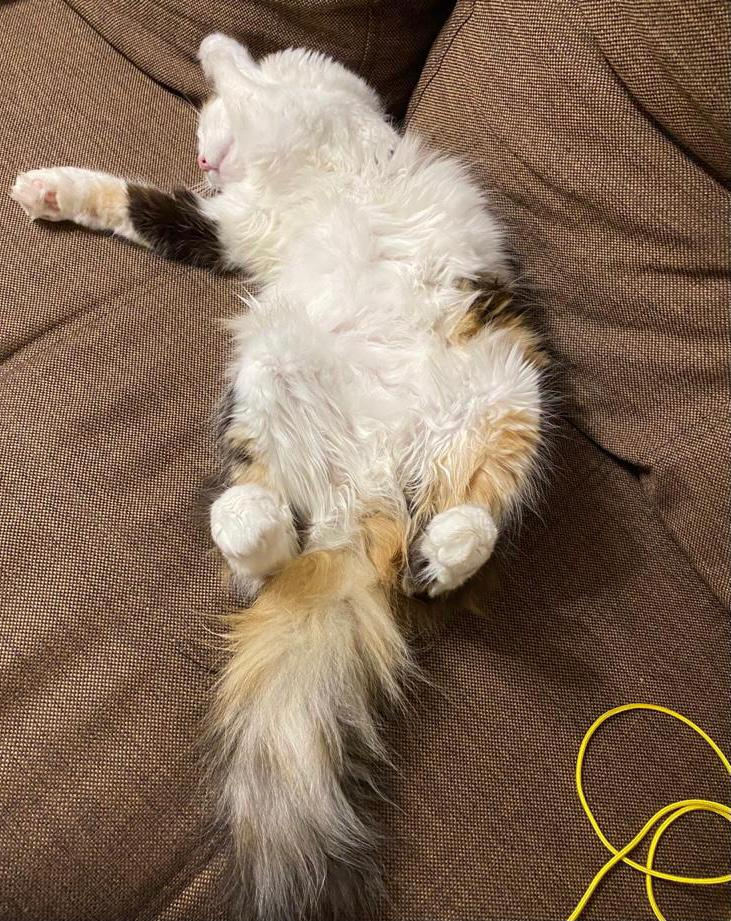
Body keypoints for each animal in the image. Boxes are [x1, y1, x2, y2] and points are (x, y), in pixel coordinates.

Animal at [11, 34, 546, 921]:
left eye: (202, 132)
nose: (202, 159)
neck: (274, 169)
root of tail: (366, 493)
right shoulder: (231, 225)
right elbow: (147, 202)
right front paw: (46, 190)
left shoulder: (315, 107)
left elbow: (247, 73)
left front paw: (219, 63)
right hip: (273, 374)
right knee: (274, 546)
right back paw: (274, 523)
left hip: (502, 396)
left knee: (469, 517)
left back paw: (432, 547)